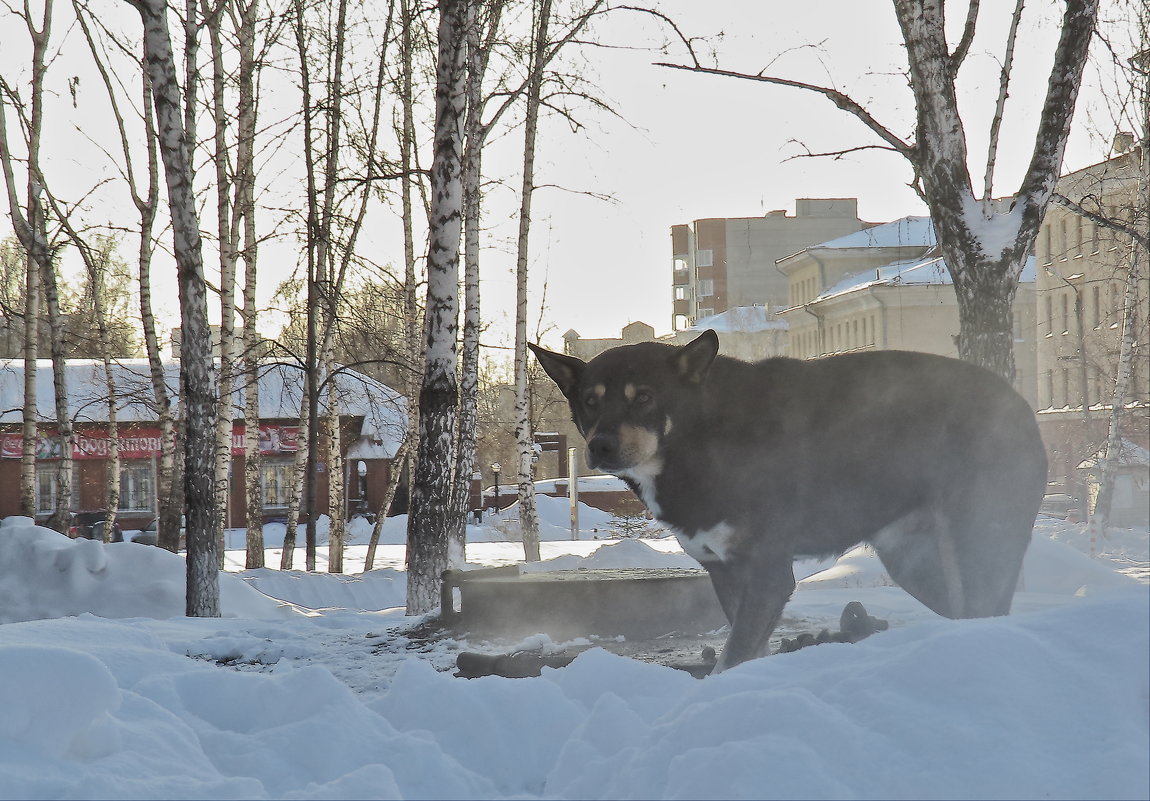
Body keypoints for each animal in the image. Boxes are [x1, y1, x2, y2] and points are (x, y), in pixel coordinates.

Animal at [531, 328, 1053, 671]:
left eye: (643, 397)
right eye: (591, 401)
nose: (600, 446)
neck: (703, 437)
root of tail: (1020, 405)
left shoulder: (768, 573)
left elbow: (730, 658)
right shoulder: (726, 573)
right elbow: (746, 651)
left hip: (979, 546)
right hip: (920, 566)